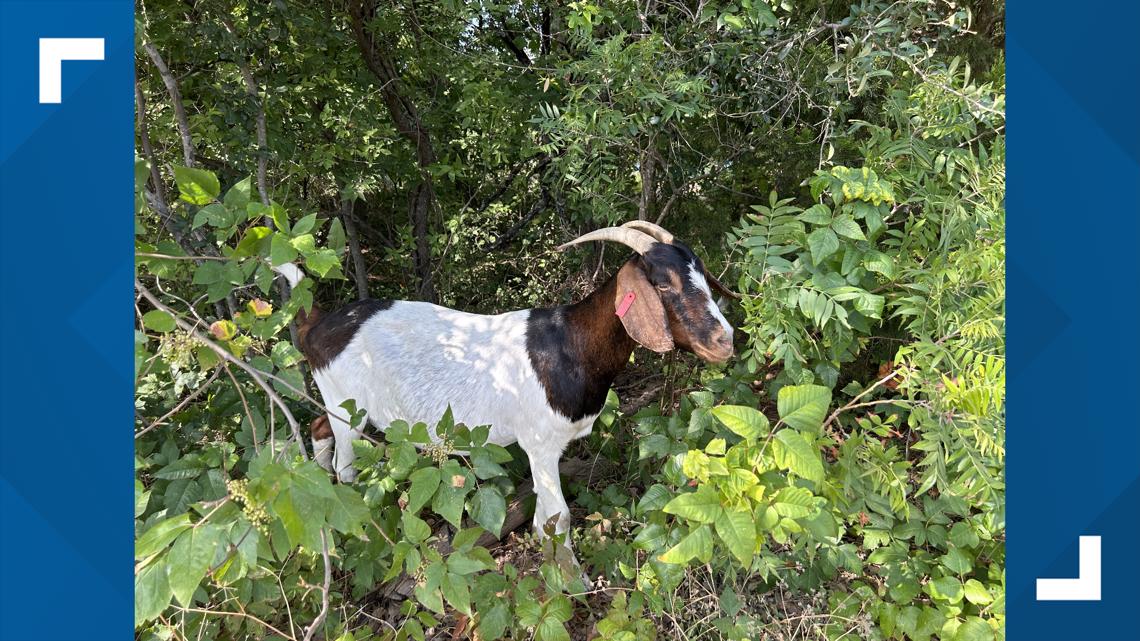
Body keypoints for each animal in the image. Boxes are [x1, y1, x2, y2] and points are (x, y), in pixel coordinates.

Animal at [276, 221, 737, 556]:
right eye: (662, 284)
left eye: (701, 274)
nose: (725, 341)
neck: (569, 344)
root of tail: (317, 324)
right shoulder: (539, 444)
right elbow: (557, 517)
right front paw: (570, 584)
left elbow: (546, 518)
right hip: (348, 407)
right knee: (345, 464)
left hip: (336, 401)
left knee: (318, 429)